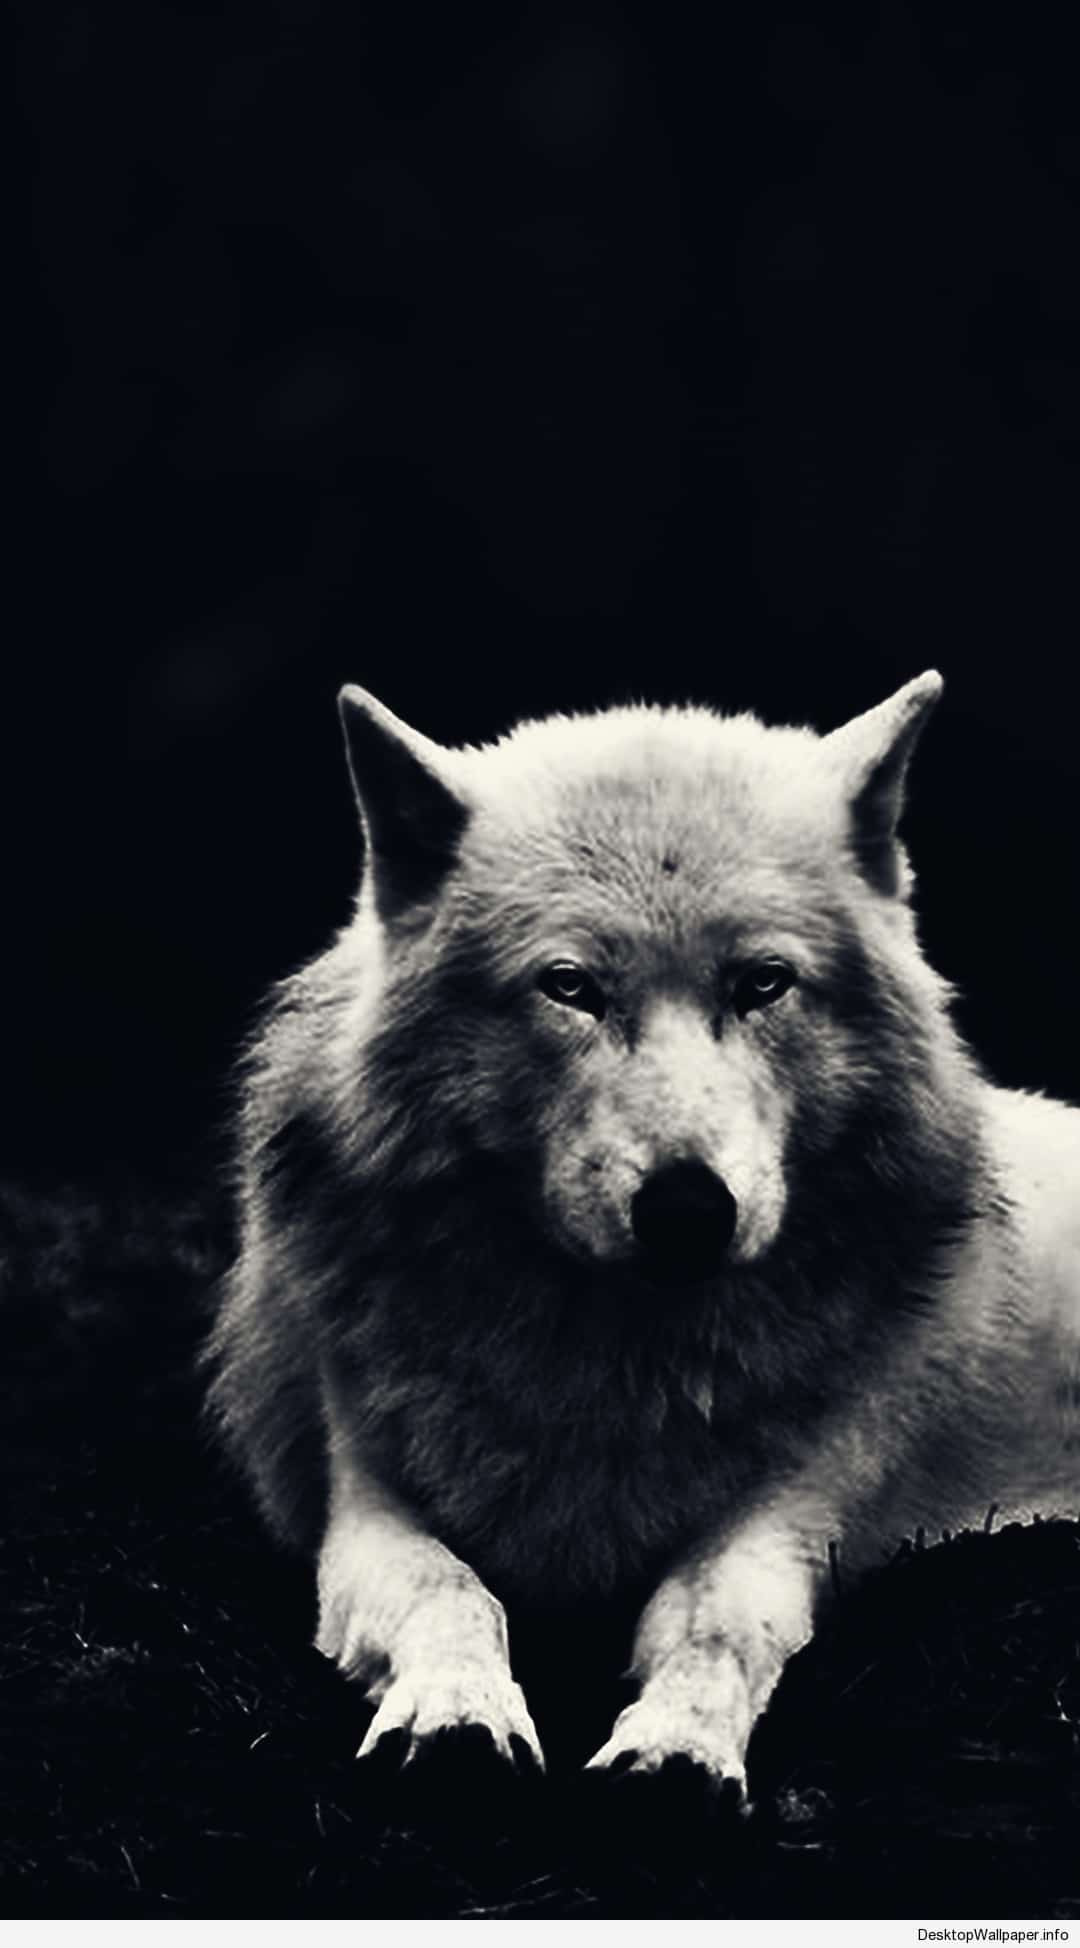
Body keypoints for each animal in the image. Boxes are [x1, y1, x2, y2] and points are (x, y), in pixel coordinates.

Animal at [207, 672, 1080, 1797]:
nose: (688, 1210)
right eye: (571, 986)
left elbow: (719, 1620)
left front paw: (676, 1747)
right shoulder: (362, 1498)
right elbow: (449, 1589)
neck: (615, 1365)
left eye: (763, 983)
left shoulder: (799, 1505)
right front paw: (458, 1713)